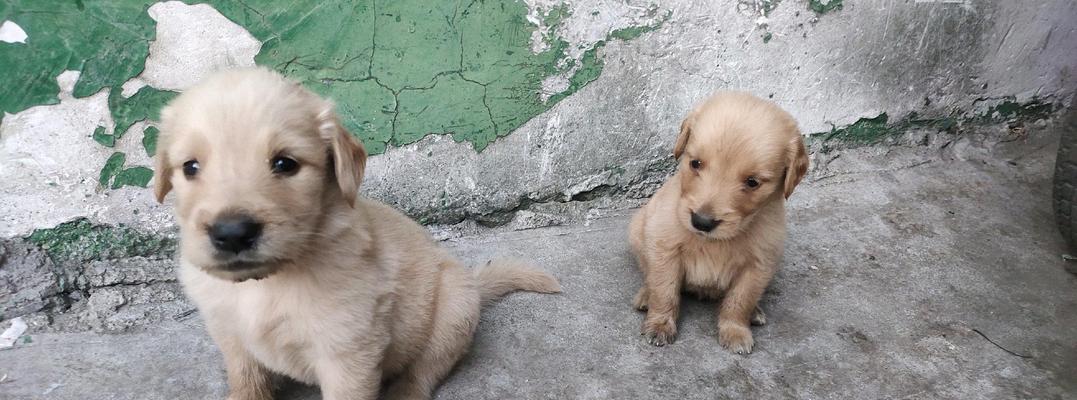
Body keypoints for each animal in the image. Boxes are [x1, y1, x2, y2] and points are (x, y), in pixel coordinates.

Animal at [628, 93, 809, 353]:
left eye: (752, 182)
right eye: (695, 163)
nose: (701, 222)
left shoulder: (759, 265)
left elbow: (740, 300)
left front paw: (735, 330)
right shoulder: (665, 248)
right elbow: (664, 290)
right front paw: (660, 324)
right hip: (638, 232)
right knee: (648, 274)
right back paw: (645, 296)